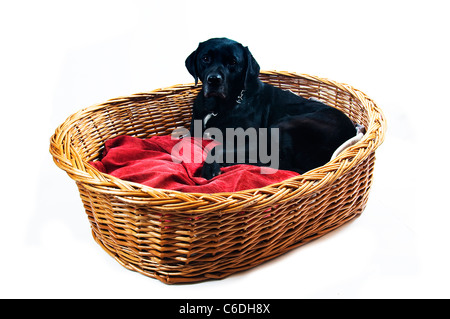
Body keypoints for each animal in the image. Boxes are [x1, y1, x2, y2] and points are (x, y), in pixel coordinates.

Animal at [185, 37, 356, 180]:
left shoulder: (253, 140)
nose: (214, 80)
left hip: (283, 125)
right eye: (205, 58)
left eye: (233, 62)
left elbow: (218, 148)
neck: (217, 106)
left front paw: (210, 167)